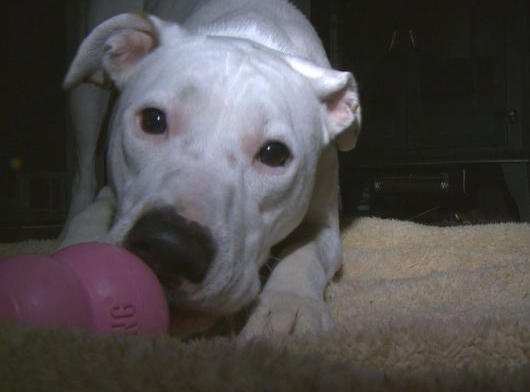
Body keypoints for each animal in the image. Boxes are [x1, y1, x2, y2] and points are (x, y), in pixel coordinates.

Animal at [60, 0, 358, 338]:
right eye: (152, 120)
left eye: (274, 154)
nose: (169, 248)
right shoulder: (111, 194)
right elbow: (89, 220)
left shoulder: (324, 222)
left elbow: (305, 252)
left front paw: (288, 306)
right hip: (86, 99)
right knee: (83, 171)